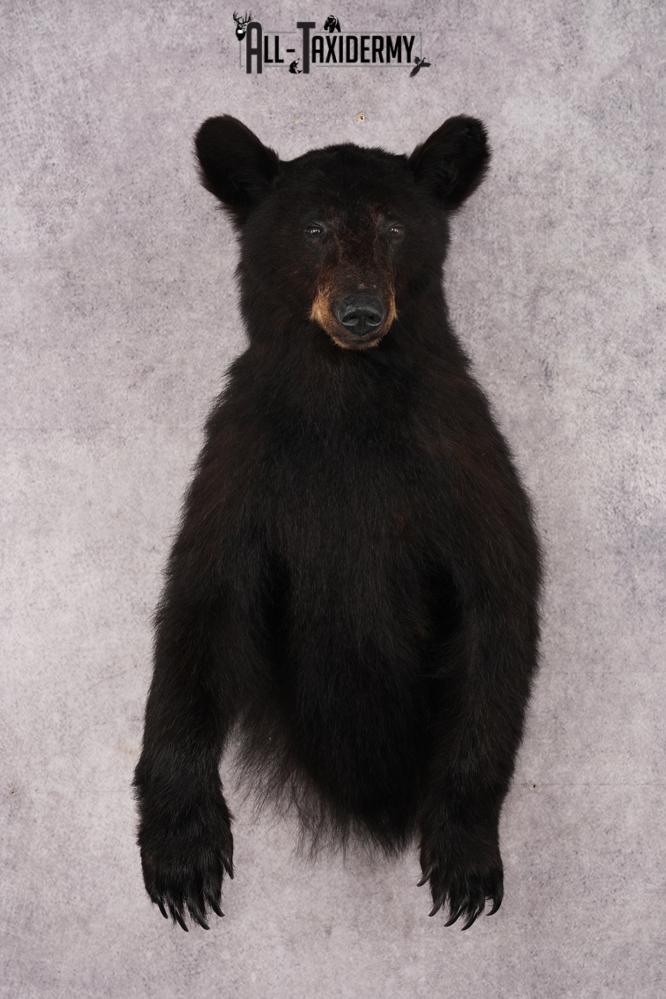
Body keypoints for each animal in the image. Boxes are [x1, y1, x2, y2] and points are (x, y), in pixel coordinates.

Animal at [133, 114, 543, 933]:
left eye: (393, 226)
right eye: (314, 226)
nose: (360, 312)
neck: (347, 394)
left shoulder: (460, 455)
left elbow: (500, 598)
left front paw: (464, 852)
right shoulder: (242, 464)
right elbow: (200, 607)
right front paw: (183, 853)